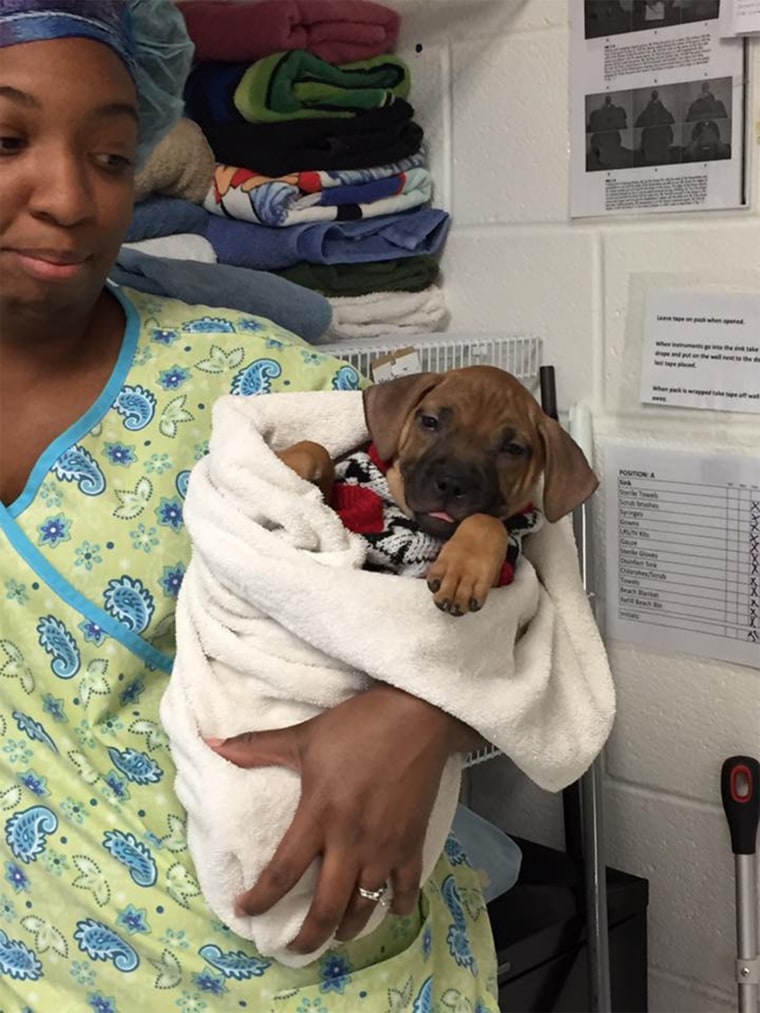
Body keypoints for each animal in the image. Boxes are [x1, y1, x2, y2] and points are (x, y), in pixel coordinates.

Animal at [277, 366, 599, 611]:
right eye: (430, 422)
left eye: (513, 449)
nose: (453, 484)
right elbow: (316, 451)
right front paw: (285, 463)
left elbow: (487, 522)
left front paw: (463, 570)